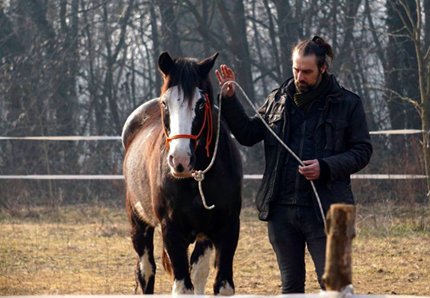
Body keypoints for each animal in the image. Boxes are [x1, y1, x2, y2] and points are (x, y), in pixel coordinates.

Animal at [122, 52, 242, 294]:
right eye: (165, 103)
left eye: (201, 103)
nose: (180, 160)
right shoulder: (172, 231)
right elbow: (182, 287)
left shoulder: (229, 228)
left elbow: (221, 285)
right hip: (139, 224)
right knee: (146, 272)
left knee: (198, 272)